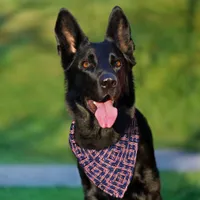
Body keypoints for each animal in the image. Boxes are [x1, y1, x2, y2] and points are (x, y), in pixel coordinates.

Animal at [55, 5, 162, 199]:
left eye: (117, 63)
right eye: (86, 64)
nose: (109, 82)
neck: (103, 135)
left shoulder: (150, 187)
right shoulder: (91, 191)